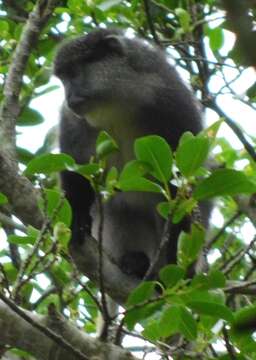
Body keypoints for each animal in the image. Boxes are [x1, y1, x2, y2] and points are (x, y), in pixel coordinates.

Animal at [54, 28, 208, 278]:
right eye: (63, 79)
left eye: (74, 73)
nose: (68, 97)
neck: (118, 106)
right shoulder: (72, 122)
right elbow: (76, 168)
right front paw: (77, 217)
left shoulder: (173, 105)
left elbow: (181, 188)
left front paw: (176, 264)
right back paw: (136, 262)